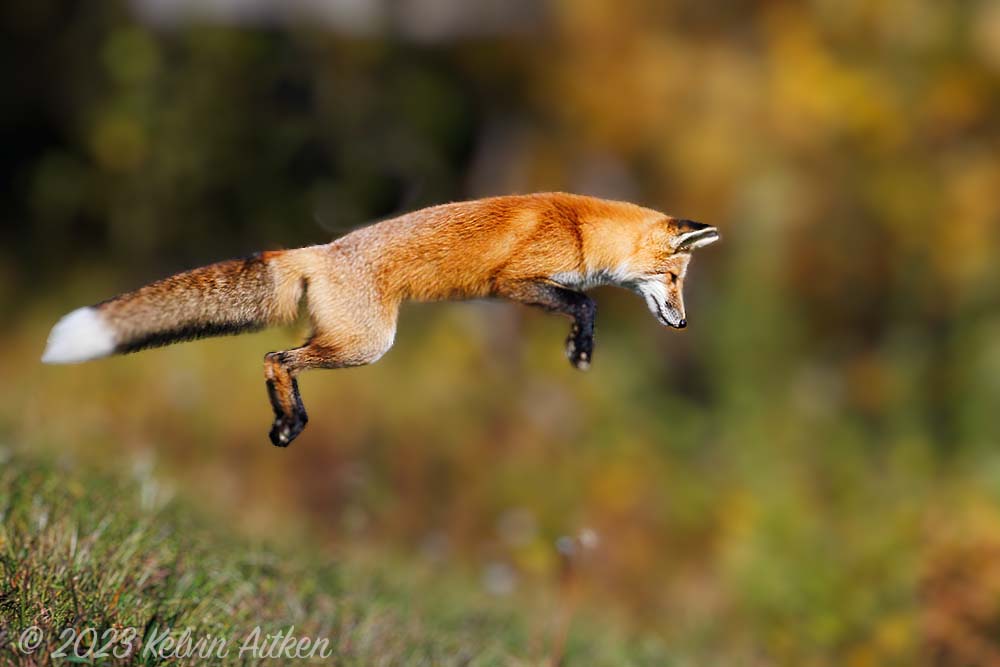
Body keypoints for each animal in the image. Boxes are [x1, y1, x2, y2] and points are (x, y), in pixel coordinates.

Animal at [42, 192, 718, 446]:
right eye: (676, 281)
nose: (685, 326)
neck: (580, 228)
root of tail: (316, 250)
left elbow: (586, 303)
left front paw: (582, 348)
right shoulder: (514, 282)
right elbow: (587, 303)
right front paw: (580, 347)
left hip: (347, 339)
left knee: (280, 359)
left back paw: (289, 420)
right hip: (369, 345)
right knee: (275, 358)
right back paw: (290, 420)